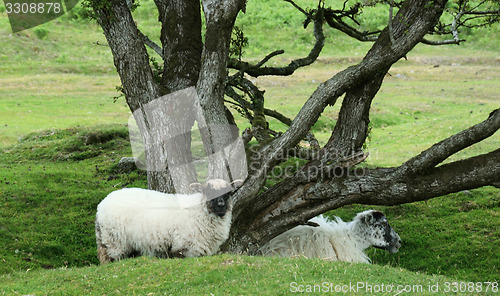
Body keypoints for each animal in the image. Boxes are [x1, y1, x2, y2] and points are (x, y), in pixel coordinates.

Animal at [95, 178, 242, 264]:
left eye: (228, 193)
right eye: (209, 192)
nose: (221, 205)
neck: (199, 210)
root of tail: (101, 204)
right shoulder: (184, 247)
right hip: (114, 242)